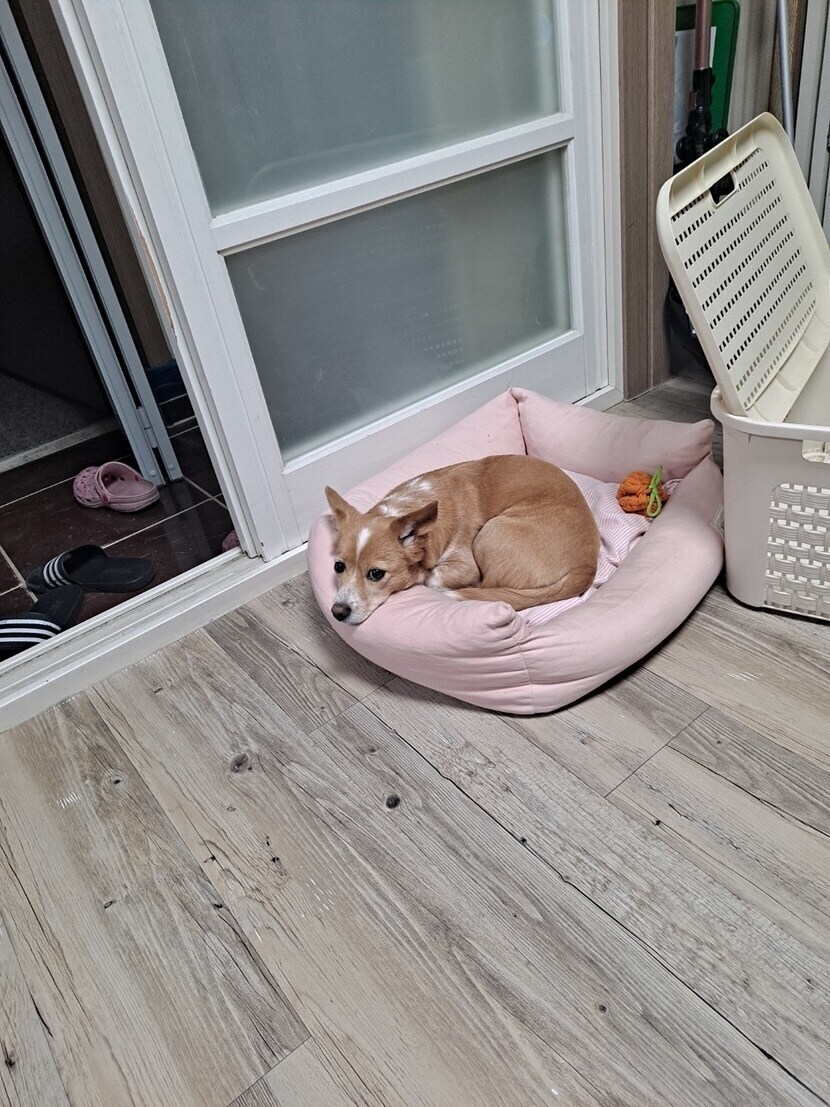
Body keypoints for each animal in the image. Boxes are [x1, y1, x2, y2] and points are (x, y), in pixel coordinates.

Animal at [325, 455, 599, 625]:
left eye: (376, 574)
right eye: (338, 566)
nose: (337, 612)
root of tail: (587, 567)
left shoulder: (466, 566)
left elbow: (433, 577)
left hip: (489, 534)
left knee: (487, 586)